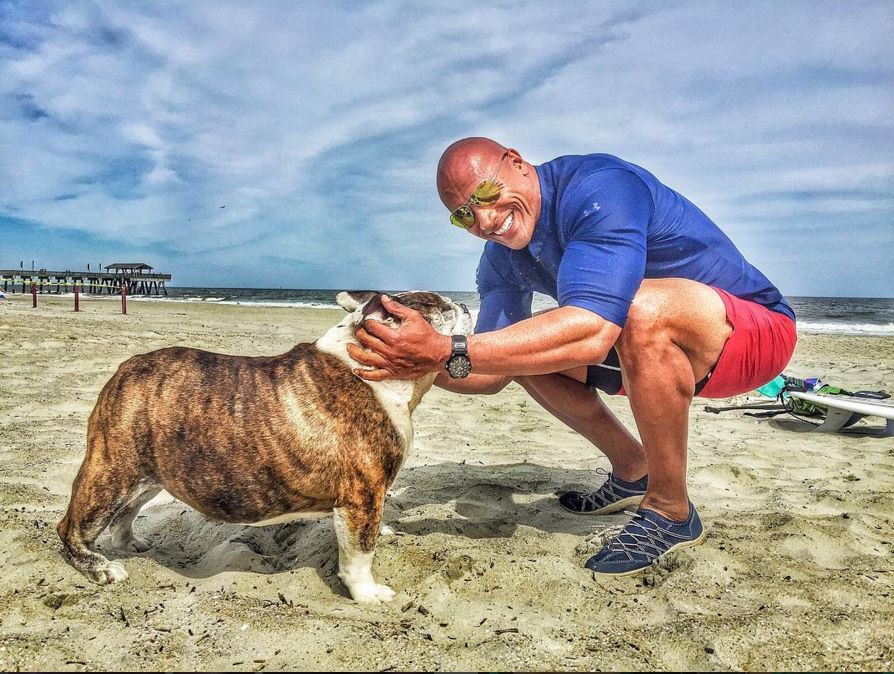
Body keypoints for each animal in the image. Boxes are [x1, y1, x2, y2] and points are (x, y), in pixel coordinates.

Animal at [57, 290, 472, 603]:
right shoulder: (361, 495)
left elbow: (371, 529)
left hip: (148, 473)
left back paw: (130, 542)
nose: (467, 305)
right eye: (442, 308)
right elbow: (359, 553)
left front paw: (383, 530)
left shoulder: (370, 495)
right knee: (71, 527)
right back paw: (100, 567)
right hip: (111, 472)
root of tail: (124, 369)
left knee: (125, 512)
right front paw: (367, 594)